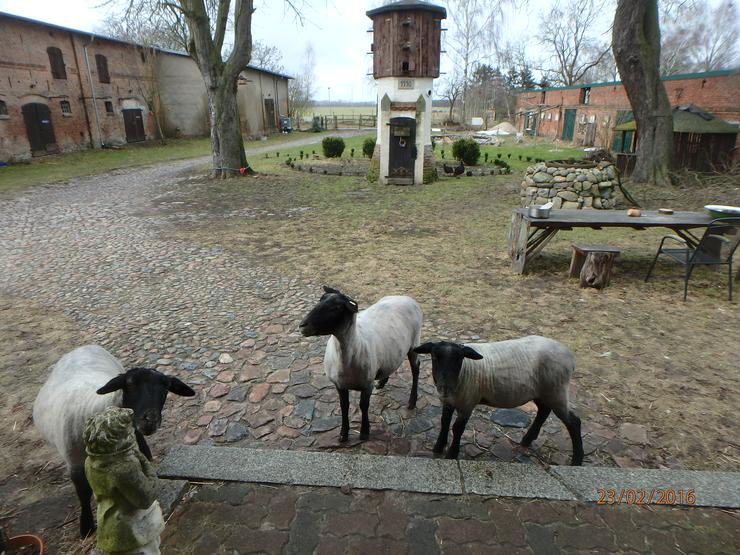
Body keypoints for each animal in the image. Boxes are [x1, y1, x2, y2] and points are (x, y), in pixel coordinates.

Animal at [33, 346, 195, 540]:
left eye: (166, 387)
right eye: (130, 384)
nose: (150, 420)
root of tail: (82, 347)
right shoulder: (74, 462)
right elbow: (83, 492)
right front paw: (86, 526)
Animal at [300, 286, 422, 444]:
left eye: (335, 308)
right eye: (320, 299)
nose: (302, 325)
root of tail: (405, 297)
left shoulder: (367, 385)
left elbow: (363, 406)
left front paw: (364, 432)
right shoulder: (339, 385)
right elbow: (344, 407)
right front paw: (343, 435)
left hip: (414, 343)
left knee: (416, 369)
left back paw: (412, 401)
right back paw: (382, 382)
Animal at [414, 336, 580, 466]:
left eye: (459, 359)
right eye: (434, 357)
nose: (445, 386)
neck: (465, 371)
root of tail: (570, 357)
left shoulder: (467, 404)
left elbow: (457, 428)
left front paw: (451, 454)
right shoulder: (449, 402)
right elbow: (444, 423)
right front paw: (438, 448)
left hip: (556, 391)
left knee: (574, 422)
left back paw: (577, 461)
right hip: (542, 392)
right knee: (544, 411)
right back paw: (527, 440)